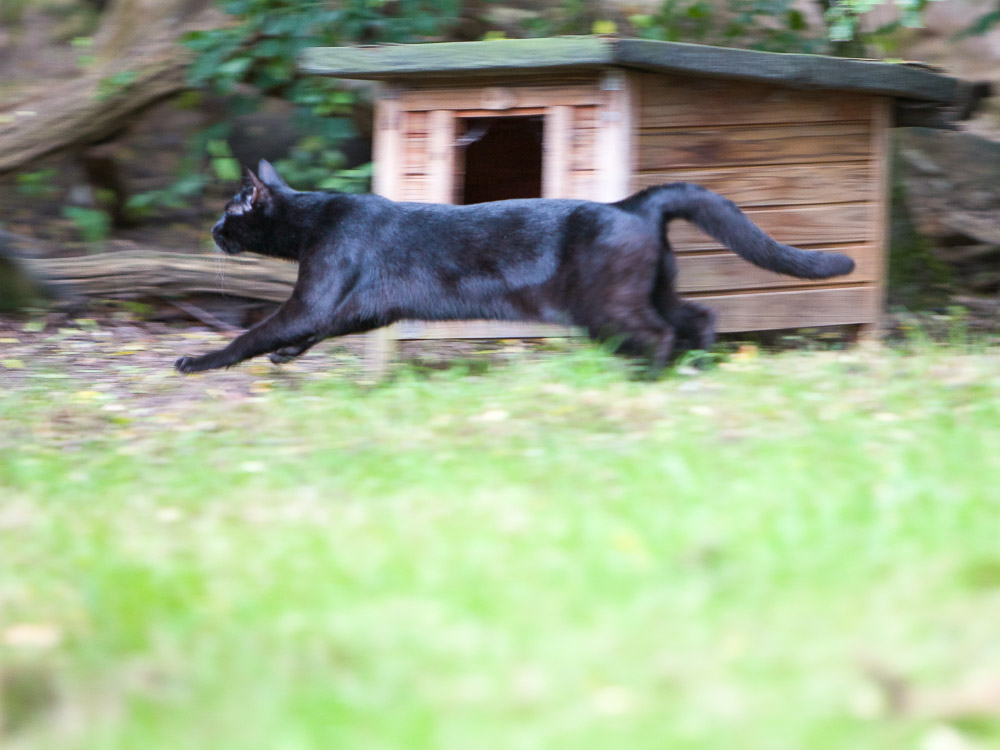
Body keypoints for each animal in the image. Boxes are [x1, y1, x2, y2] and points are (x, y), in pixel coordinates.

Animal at [172, 163, 852, 376]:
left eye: (230, 211)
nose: (211, 230)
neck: (314, 219)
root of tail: (632, 203)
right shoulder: (362, 306)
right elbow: (316, 329)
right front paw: (288, 356)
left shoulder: (317, 294)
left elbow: (257, 331)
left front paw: (197, 362)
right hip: (652, 288)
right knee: (699, 315)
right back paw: (696, 367)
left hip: (605, 304)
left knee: (661, 331)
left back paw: (647, 378)